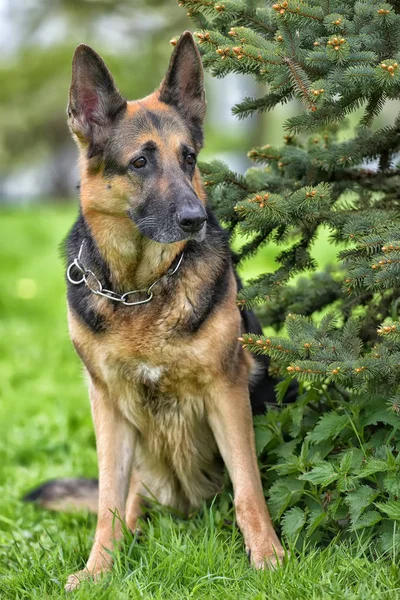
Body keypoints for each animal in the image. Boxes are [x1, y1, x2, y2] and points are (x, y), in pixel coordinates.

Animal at [28, 32, 290, 592]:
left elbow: (249, 490)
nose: (196, 219)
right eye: (140, 163)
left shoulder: (226, 392)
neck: (142, 289)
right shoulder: (107, 405)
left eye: (188, 157)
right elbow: (108, 502)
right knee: (128, 501)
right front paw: (98, 570)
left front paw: (268, 558)